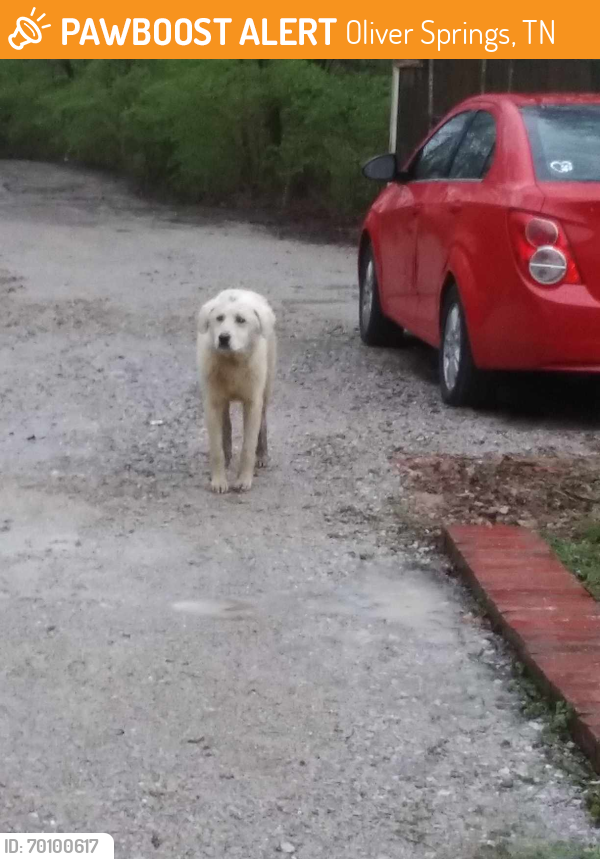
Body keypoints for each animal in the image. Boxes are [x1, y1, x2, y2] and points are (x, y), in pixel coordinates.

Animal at [199, 288, 278, 490]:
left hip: (266, 389)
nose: (223, 338)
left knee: (263, 423)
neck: (232, 362)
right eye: (219, 318)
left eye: (241, 320)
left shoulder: (252, 402)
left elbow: (248, 446)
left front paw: (243, 480)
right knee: (226, 426)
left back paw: (262, 455)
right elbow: (216, 448)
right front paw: (219, 481)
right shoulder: (212, 402)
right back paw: (228, 456)